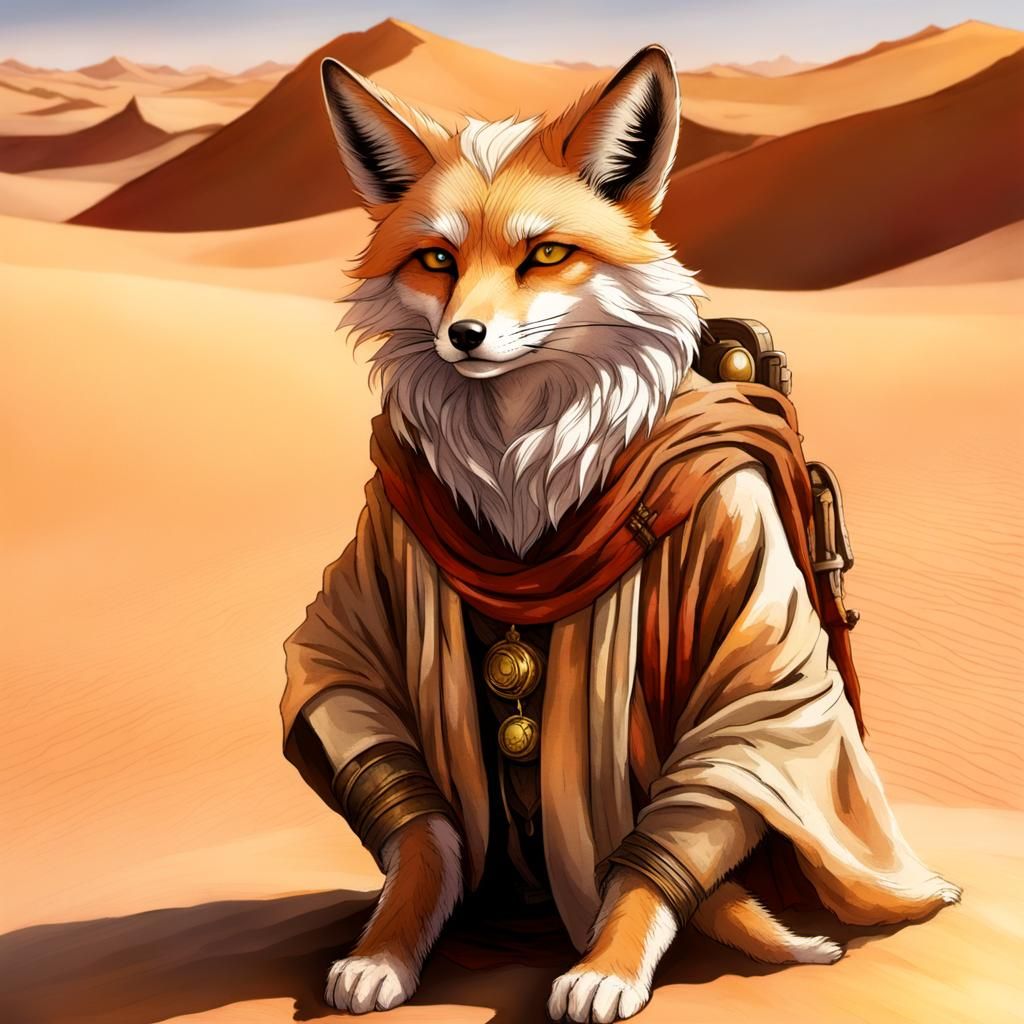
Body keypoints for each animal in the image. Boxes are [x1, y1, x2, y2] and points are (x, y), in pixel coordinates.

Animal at [316, 45, 850, 1022]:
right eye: (437, 259)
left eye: (548, 254)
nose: (465, 334)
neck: (523, 480)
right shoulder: (375, 567)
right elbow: (423, 835)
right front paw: (386, 946)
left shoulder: (754, 634)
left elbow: (673, 832)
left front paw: (607, 963)